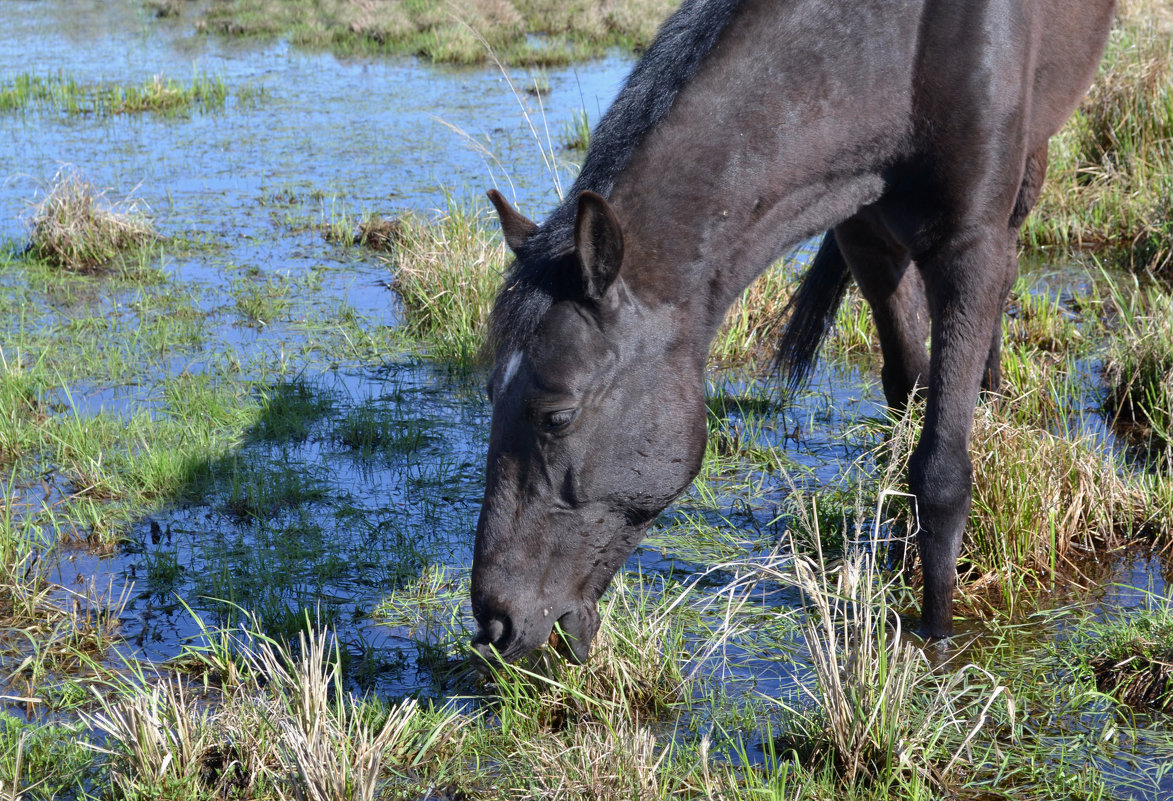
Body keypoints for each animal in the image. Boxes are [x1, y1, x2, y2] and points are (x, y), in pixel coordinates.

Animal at [464, 0, 1107, 666]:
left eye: (556, 416)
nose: (494, 624)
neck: (897, 46)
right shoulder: (864, 232)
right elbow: (907, 393)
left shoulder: (969, 245)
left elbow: (941, 472)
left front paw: (935, 638)